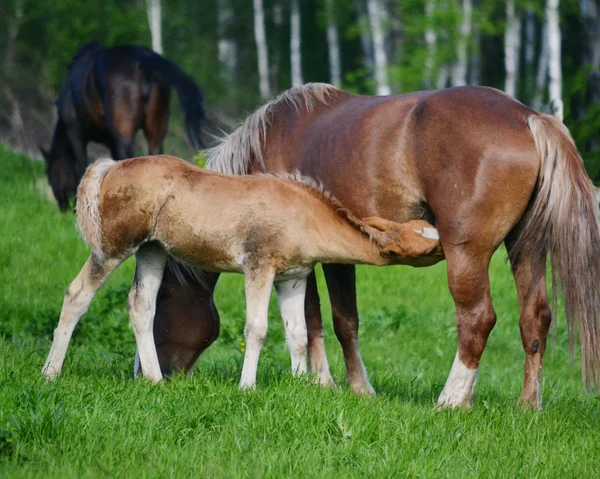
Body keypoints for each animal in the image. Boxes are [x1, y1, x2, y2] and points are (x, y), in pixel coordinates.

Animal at [41, 41, 206, 212]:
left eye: (49, 177)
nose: (63, 207)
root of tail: (142, 59)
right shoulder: (110, 141)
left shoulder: (76, 133)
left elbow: (82, 166)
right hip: (155, 134)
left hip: (123, 136)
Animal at [42, 156, 442, 388]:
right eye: (428, 246)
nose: (449, 242)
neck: (303, 214)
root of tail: (111, 166)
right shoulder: (259, 266)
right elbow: (257, 329)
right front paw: (247, 386)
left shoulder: (293, 277)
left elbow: (297, 333)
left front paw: (301, 386)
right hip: (114, 247)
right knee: (77, 294)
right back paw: (50, 372)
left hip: (152, 250)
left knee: (141, 305)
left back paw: (154, 381)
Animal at [146, 83, 600, 408]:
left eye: (164, 299)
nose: (155, 373)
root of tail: (529, 118)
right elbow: (340, 321)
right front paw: (353, 386)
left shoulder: (312, 258)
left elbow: (319, 319)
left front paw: (325, 383)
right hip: (525, 248)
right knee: (534, 319)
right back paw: (527, 405)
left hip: (467, 255)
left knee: (477, 320)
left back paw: (451, 400)